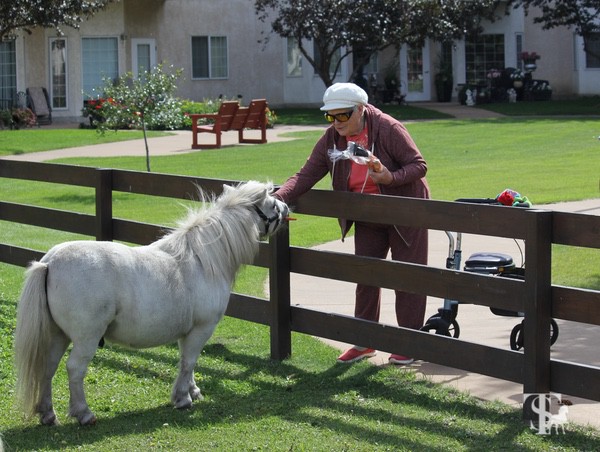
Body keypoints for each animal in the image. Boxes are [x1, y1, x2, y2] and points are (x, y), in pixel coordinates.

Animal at [12, 181, 288, 428]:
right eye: (272, 203)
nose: (287, 207)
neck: (203, 259)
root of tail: (49, 262)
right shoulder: (202, 328)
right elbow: (189, 362)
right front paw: (182, 399)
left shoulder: (187, 331)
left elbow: (187, 362)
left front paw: (192, 391)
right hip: (85, 338)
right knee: (75, 369)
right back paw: (84, 414)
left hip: (58, 334)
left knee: (48, 368)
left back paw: (48, 414)